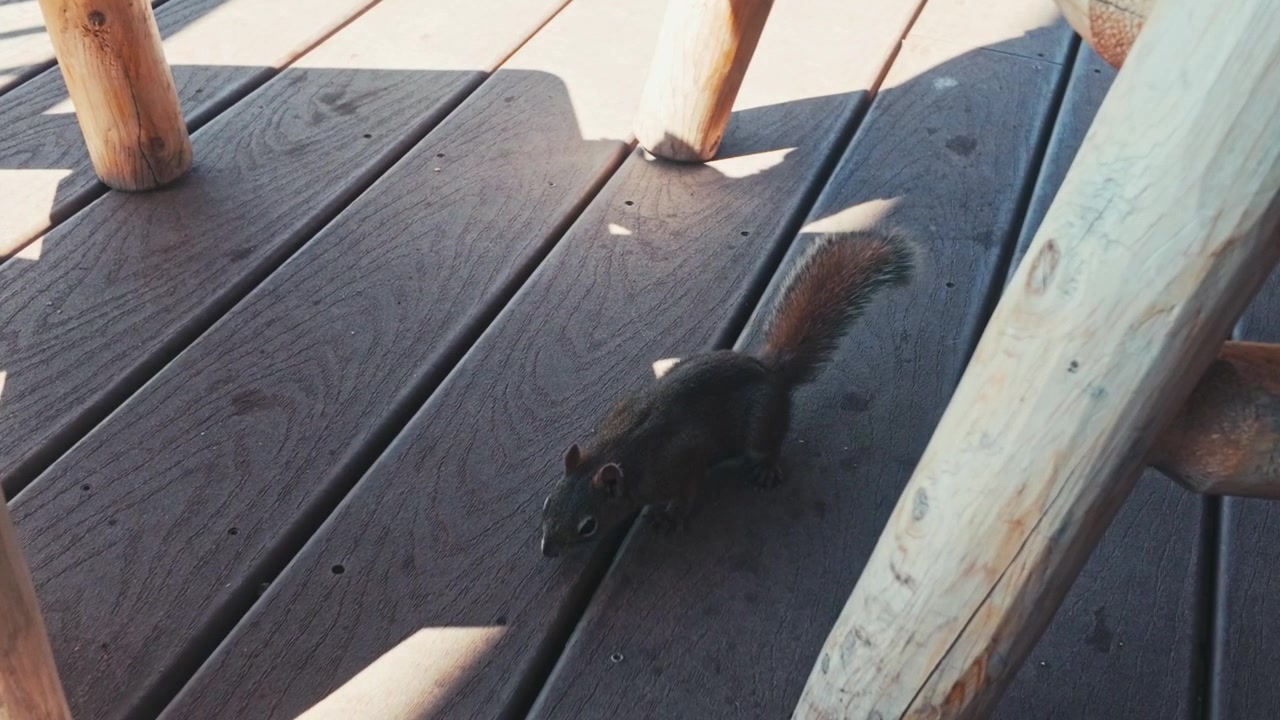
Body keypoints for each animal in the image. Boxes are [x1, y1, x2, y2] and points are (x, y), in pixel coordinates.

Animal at [539, 229, 914, 557]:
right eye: (547, 503)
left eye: (588, 526)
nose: (548, 551)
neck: (617, 451)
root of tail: (771, 373)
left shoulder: (681, 461)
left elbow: (688, 490)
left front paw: (670, 516)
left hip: (761, 423)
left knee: (769, 445)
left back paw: (767, 468)